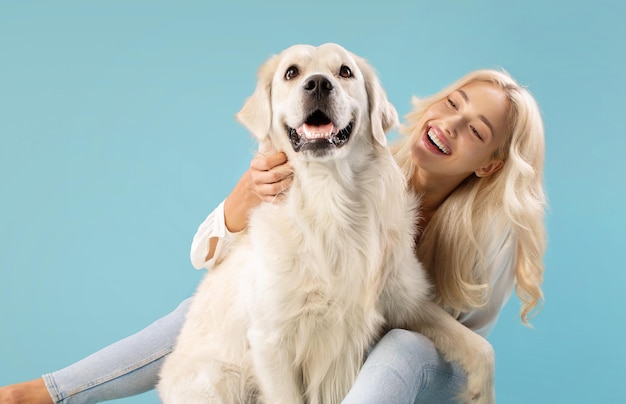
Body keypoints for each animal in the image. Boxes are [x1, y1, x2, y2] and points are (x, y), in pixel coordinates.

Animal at [157, 42, 492, 402]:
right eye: (291, 72)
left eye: (345, 71)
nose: (318, 84)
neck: (330, 199)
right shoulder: (271, 340)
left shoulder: (405, 302)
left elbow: (481, 347)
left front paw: (480, 392)